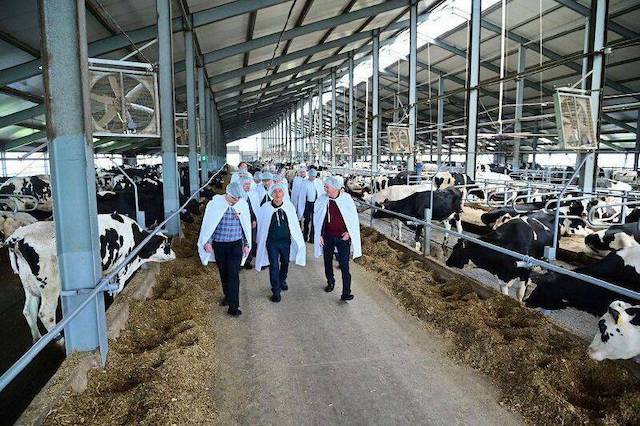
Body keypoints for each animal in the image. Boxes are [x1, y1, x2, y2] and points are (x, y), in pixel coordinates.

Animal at [5, 213, 176, 345]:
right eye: (166, 245)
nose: (174, 254)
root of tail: (17, 237)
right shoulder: (120, 268)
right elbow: (117, 290)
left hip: (29, 283)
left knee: (29, 310)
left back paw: (37, 338)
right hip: (50, 284)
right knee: (45, 313)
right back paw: (61, 341)